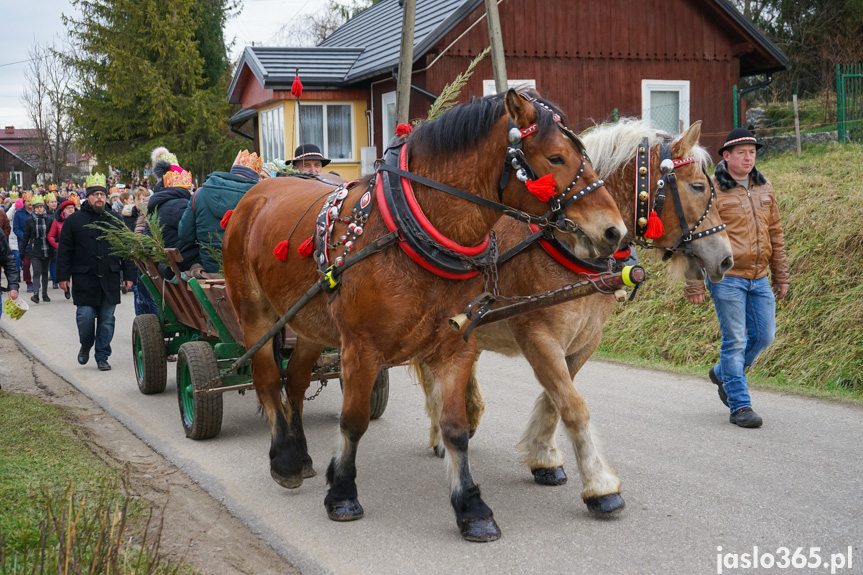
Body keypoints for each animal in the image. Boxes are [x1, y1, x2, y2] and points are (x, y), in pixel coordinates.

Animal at [221, 90, 628, 540]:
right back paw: (285, 460)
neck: (407, 232)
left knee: (294, 383)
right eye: (556, 158)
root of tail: (256, 194)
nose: (613, 231)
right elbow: (353, 420)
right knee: (268, 380)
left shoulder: (456, 345)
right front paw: (342, 492)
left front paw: (471, 507)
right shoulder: (361, 349)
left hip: (310, 326)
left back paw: (302, 455)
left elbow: (456, 427)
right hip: (255, 314)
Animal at [418, 119, 736, 516]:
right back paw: (439, 433)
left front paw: (543, 456)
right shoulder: (538, 337)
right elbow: (573, 405)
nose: (727, 259)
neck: (566, 244)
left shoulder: (585, 339)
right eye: (697, 186)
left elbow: (556, 398)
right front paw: (600, 486)